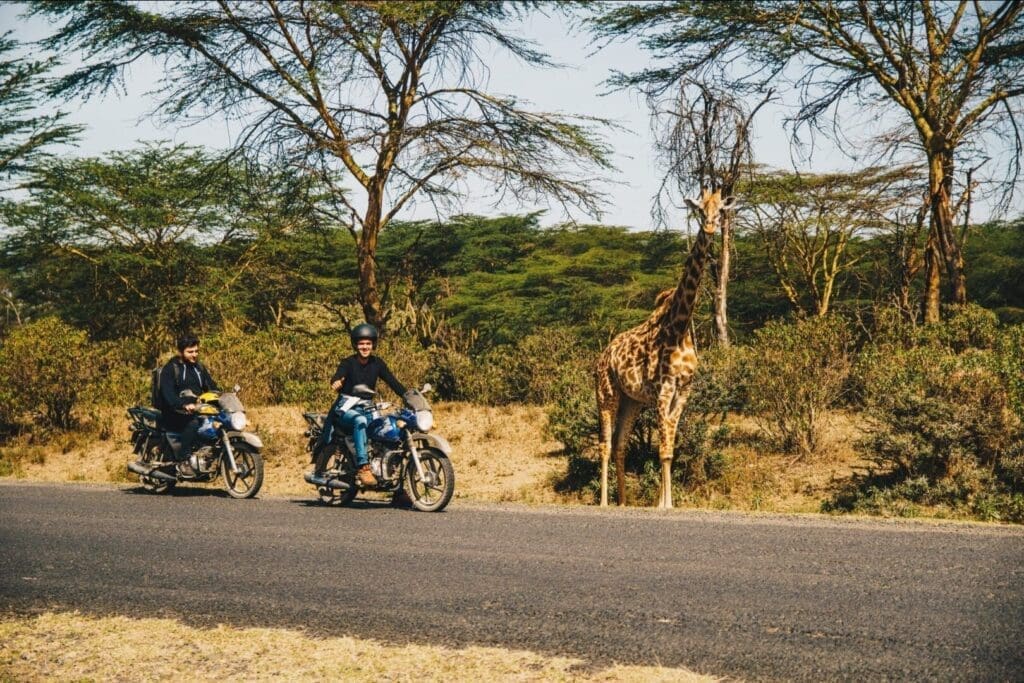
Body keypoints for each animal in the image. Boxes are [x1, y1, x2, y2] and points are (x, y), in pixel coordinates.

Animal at [594, 188, 734, 508]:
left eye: (720, 209)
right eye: (699, 208)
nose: (710, 226)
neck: (679, 327)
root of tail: (602, 356)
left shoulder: (683, 390)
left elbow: (670, 447)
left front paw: (665, 502)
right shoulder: (664, 389)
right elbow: (662, 449)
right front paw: (665, 503)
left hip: (631, 400)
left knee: (620, 444)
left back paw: (623, 502)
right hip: (606, 393)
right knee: (605, 445)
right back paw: (604, 502)